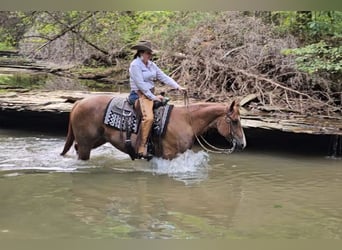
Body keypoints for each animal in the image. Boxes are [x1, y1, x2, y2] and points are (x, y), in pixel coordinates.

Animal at [59, 95, 246, 160]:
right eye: (235, 121)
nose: (243, 144)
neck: (186, 120)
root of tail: (79, 102)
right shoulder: (169, 155)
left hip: (96, 141)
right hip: (86, 144)